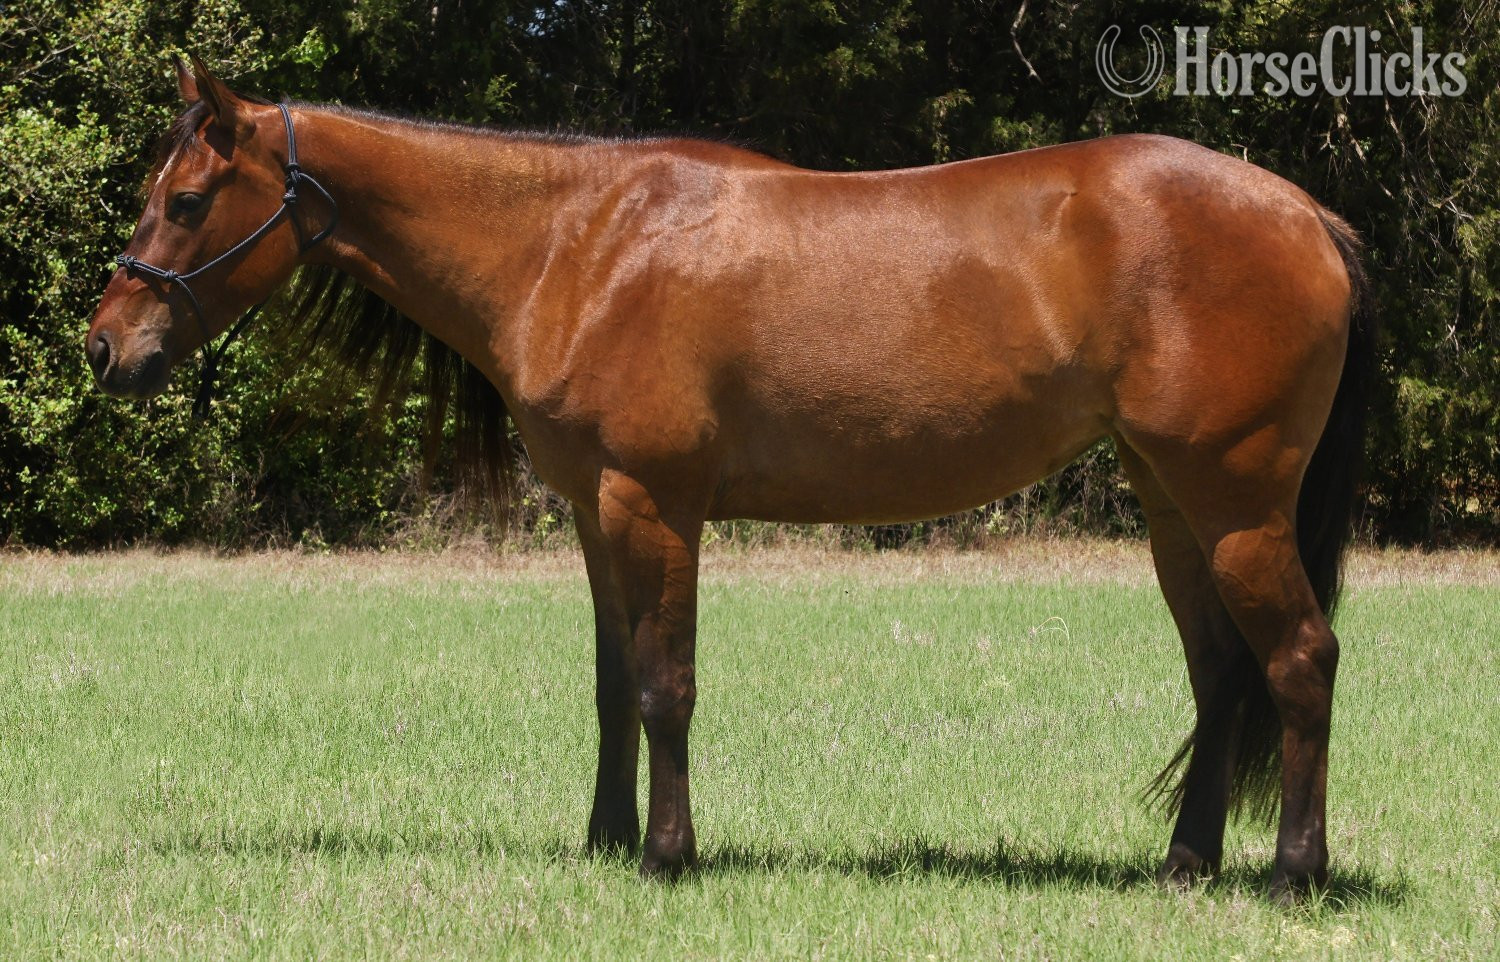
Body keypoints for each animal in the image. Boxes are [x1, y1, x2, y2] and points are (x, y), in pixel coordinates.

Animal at [87, 58, 1373, 902]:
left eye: (186, 200)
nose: (104, 348)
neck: (577, 242)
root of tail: (1310, 214)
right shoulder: (594, 511)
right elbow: (613, 686)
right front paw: (605, 841)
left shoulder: (654, 502)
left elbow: (667, 684)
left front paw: (667, 854)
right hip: (1173, 505)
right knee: (1221, 676)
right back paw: (1186, 865)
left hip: (1236, 503)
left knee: (1302, 661)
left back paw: (1293, 874)